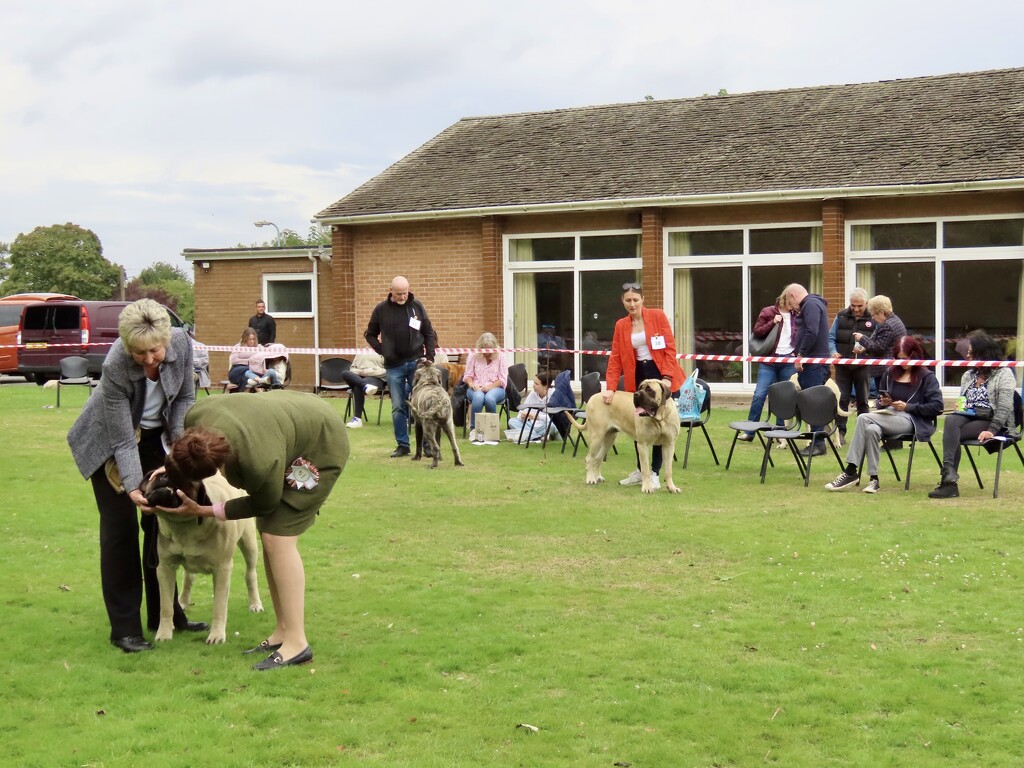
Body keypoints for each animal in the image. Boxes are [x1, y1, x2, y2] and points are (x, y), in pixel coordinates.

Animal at [144, 468, 264, 643]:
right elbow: (165, 605)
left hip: (249, 541)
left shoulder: (222, 568)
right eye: (150, 476)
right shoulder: (165, 567)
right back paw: (183, 601)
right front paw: (164, 634)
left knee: (250, 573)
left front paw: (216, 636)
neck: (183, 524)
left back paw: (255, 604)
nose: (163, 475)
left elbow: (219, 606)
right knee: (188, 578)